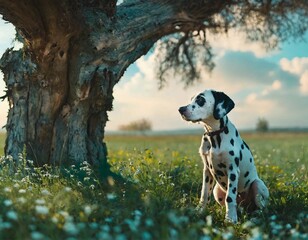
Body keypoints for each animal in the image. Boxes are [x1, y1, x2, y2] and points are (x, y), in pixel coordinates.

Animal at [179, 89, 268, 223]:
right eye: (191, 99)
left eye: (201, 100)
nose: (181, 109)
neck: (214, 135)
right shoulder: (207, 171)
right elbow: (204, 194)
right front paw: (199, 211)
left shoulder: (232, 170)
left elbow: (230, 198)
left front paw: (230, 219)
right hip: (217, 190)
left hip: (258, 185)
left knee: (262, 208)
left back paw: (256, 216)